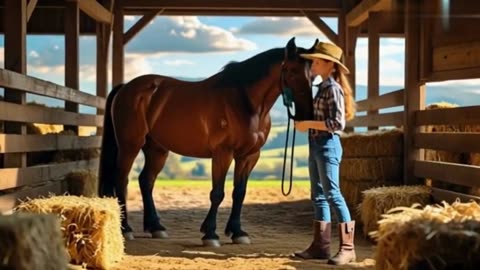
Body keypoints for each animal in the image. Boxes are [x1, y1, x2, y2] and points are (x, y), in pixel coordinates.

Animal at [99, 37, 316, 247]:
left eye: (313, 76)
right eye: (292, 71)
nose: (307, 114)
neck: (245, 103)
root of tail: (126, 87)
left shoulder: (249, 156)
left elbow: (239, 192)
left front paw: (238, 232)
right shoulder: (223, 153)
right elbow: (217, 193)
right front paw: (210, 234)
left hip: (157, 149)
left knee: (146, 181)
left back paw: (156, 228)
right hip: (130, 145)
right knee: (122, 180)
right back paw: (126, 229)